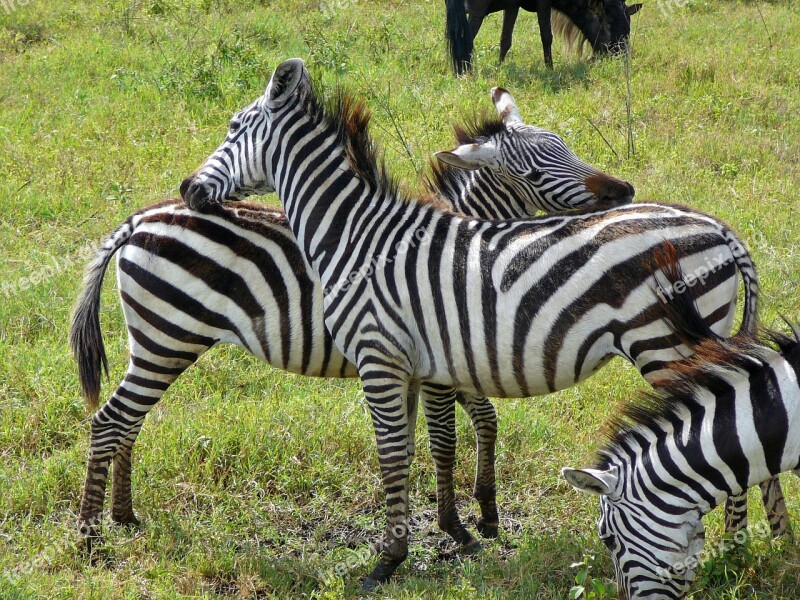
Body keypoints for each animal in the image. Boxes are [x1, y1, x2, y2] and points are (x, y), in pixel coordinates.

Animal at [72, 88, 632, 548]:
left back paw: (124, 517)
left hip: (153, 340)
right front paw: (456, 527)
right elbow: (445, 440)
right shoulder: (438, 363)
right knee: (112, 420)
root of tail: (139, 219)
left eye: (568, 147)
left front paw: (484, 511)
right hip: (168, 336)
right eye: (535, 170)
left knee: (129, 421)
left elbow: (472, 425)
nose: (624, 191)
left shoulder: (439, 357)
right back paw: (92, 535)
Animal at [446, 0, 640, 74]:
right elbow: (546, 36)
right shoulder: (543, 4)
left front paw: (499, 67)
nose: (621, 58)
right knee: (465, 39)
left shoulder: (512, 6)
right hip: (476, 10)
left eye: (628, 27)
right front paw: (550, 68)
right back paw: (463, 71)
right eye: (608, 22)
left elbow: (505, 40)